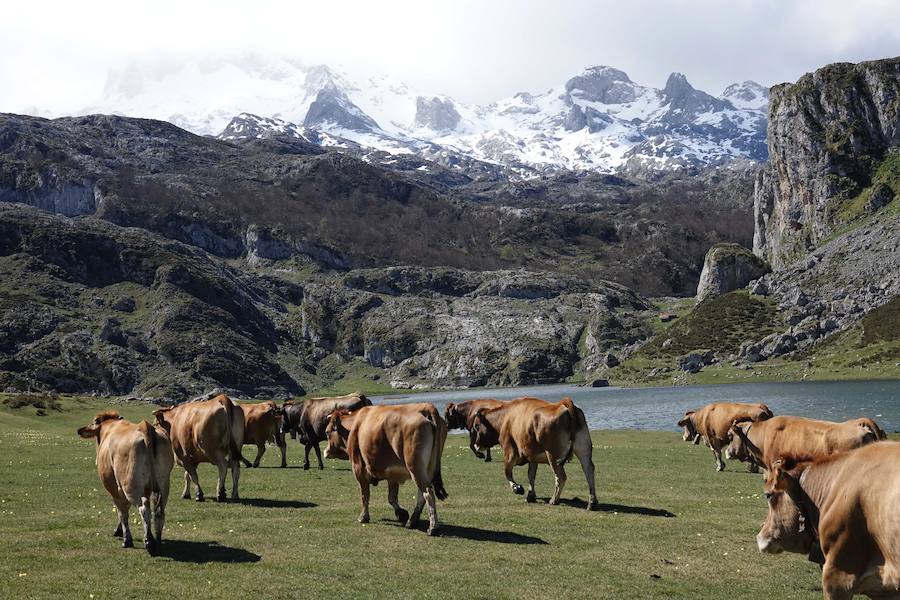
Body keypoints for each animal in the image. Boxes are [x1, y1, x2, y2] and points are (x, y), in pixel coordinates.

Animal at [77, 410, 174, 556]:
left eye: (94, 421)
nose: (80, 429)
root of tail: (145, 426)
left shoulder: (115, 489)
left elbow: (122, 512)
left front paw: (126, 539)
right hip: (163, 484)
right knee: (159, 511)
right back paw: (157, 541)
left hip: (131, 486)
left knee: (144, 508)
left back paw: (149, 543)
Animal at [326, 404, 448, 536]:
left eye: (327, 432)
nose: (325, 452)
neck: (354, 425)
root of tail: (427, 406)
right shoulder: (392, 474)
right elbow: (391, 497)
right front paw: (402, 514)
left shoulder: (358, 467)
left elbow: (365, 494)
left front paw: (363, 517)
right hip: (428, 469)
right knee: (422, 495)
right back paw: (412, 521)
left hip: (415, 467)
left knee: (427, 493)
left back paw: (433, 527)